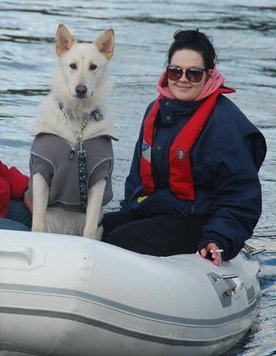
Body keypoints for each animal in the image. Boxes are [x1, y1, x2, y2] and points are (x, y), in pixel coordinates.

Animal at [29, 25, 117, 239]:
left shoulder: (98, 178)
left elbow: (90, 229)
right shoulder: (41, 171)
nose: (81, 89)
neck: (77, 124)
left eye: (93, 67)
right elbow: (38, 225)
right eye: (73, 66)